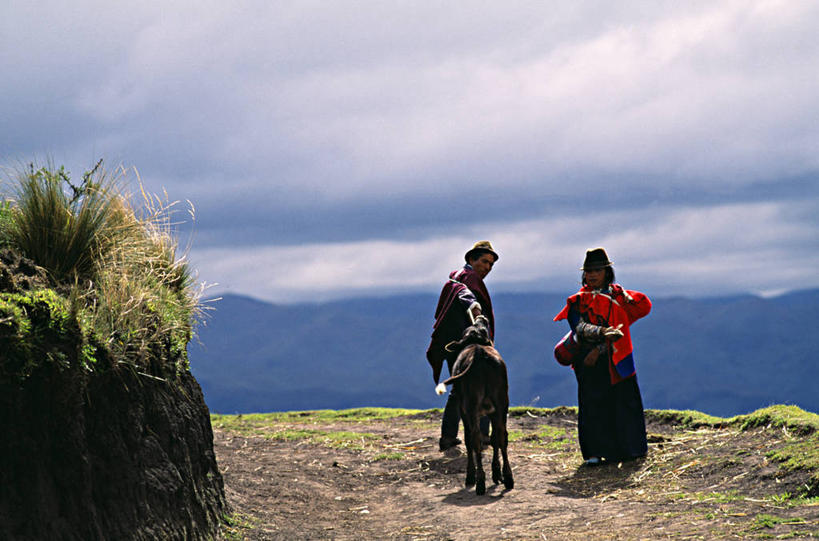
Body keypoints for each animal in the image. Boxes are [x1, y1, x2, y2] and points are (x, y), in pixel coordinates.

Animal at [436, 318, 512, 496]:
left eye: (483, 327)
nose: (481, 318)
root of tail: (479, 353)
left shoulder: (463, 410)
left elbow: (468, 439)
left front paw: (471, 475)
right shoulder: (492, 412)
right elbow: (494, 438)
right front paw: (496, 474)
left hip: (470, 406)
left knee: (475, 438)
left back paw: (479, 482)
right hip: (502, 402)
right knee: (502, 436)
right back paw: (508, 478)